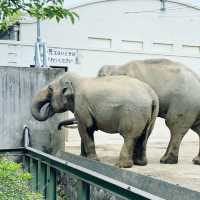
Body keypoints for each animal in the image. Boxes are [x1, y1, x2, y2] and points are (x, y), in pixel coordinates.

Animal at [31, 72, 159, 168]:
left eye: (50, 89)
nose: (58, 127)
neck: (78, 80)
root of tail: (152, 96)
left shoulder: (82, 106)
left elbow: (85, 128)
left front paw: (93, 160)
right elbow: (86, 130)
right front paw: (83, 158)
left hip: (133, 114)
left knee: (130, 137)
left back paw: (122, 165)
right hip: (151, 115)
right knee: (144, 136)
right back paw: (140, 163)